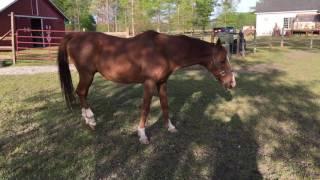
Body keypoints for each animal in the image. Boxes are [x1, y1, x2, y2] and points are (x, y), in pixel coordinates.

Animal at [57, 30, 235, 143]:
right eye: (221, 60)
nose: (232, 83)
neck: (164, 50)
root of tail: (75, 35)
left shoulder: (162, 83)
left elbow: (165, 105)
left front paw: (170, 127)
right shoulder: (149, 83)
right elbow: (146, 108)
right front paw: (142, 135)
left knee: (82, 93)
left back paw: (86, 119)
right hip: (87, 74)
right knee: (81, 92)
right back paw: (91, 121)